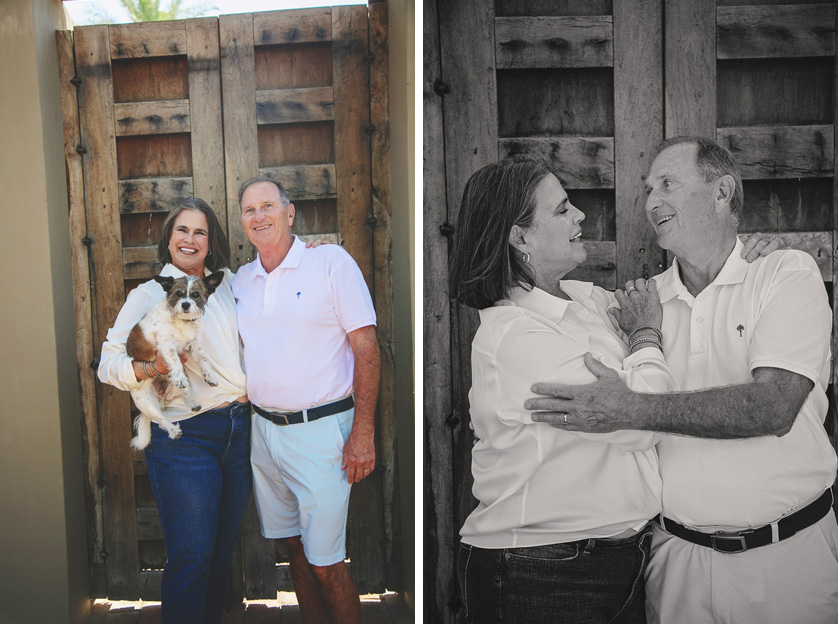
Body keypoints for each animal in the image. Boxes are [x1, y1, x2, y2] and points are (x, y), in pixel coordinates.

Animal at [124, 272, 223, 448]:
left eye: (195, 295)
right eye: (178, 294)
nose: (185, 304)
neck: (182, 322)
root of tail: (162, 397)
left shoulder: (194, 345)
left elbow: (203, 359)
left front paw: (209, 376)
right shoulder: (166, 345)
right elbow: (175, 360)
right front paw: (179, 376)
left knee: (185, 394)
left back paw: (192, 403)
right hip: (146, 403)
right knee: (160, 419)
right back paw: (173, 430)